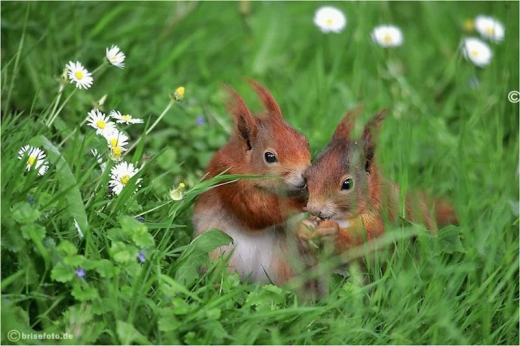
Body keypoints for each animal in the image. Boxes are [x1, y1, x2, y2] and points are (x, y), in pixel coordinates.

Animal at [195, 80, 320, 290]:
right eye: (269, 156)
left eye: (306, 142)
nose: (306, 177)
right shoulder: (231, 185)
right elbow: (257, 214)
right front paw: (302, 201)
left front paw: (309, 224)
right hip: (217, 257)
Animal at [298, 107, 458, 255]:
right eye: (308, 175)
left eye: (347, 184)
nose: (313, 209)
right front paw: (303, 227)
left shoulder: (382, 216)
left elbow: (369, 241)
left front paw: (332, 233)